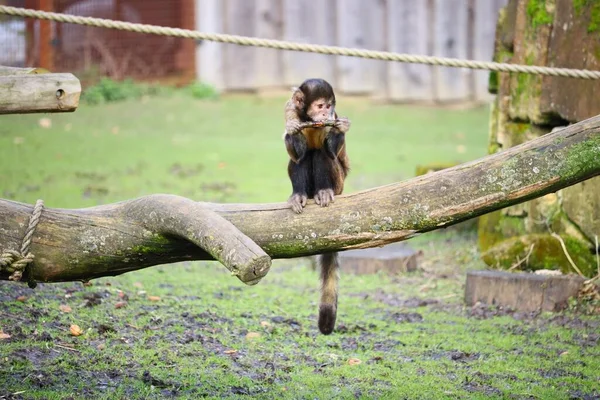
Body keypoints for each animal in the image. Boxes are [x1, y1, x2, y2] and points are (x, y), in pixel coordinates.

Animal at [282, 78, 350, 334]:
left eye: (330, 107)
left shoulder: (333, 118)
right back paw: (299, 196)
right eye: (320, 105)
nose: (325, 113)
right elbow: (295, 149)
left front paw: (340, 129)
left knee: (320, 153)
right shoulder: (290, 109)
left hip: (340, 183)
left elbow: (330, 149)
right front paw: (292, 130)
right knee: (302, 157)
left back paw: (323, 192)